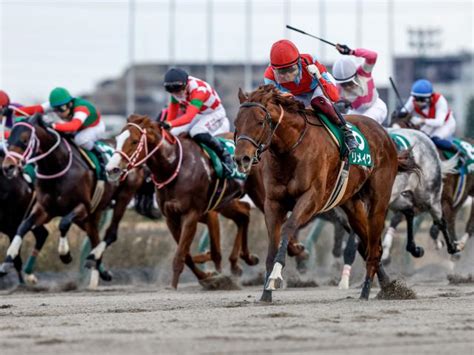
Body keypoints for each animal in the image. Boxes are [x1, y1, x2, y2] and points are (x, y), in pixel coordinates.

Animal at [1, 112, 143, 286]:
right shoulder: (44, 209)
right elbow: (23, 226)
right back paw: (98, 269)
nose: (8, 167)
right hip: (92, 215)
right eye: (9, 139)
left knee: (110, 233)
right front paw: (8, 259)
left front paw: (65, 254)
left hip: (122, 198)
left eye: (24, 139)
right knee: (94, 237)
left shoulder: (82, 207)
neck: (57, 167)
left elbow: (63, 223)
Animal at [235, 85, 416, 302]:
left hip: (378, 201)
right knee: (370, 245)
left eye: (260, 121)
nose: (241, 158)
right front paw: (265, 292)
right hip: (352, 205)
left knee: (373, 245)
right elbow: (273, 242)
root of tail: (384, 133)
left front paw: (276, 276)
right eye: (236, 122)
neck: (290, 149)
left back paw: (366, 291)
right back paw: (387, 286)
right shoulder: (273, 202)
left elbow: (289, 227)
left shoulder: (312, 198)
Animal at [390, 112, 472, 252]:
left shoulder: (443, 201)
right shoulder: (414, 201)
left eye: (402, 126)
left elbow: (437, 226)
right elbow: (397, 218)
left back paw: (458, 244)